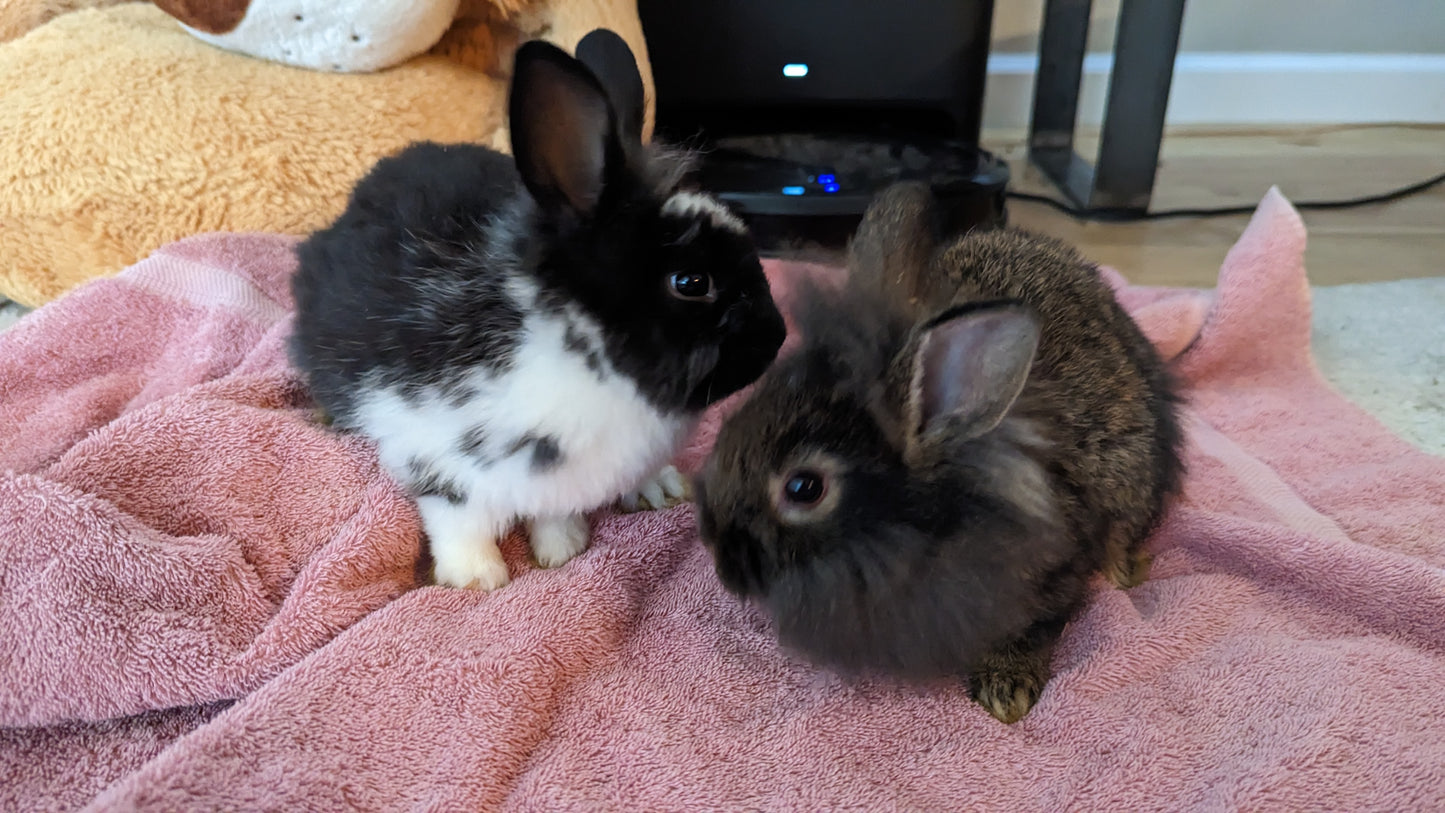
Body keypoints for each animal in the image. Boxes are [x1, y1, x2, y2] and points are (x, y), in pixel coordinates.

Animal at [289, 29, 787, 592]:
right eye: (691, 283)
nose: (778, 334)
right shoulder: (434, 451)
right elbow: (458, 517)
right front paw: (476, 578)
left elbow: (553, 513)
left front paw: (562, 550)